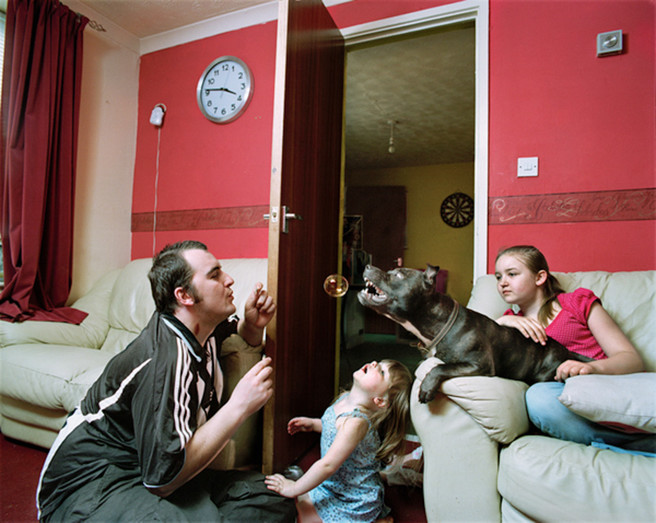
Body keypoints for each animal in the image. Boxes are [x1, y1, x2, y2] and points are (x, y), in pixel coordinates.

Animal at [356, 264, 592, 404]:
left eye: (397, 274)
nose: (367, 265)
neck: (440, 324)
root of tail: (565, 351)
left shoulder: (478, 364)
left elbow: (441, 367)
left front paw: (427, 387)